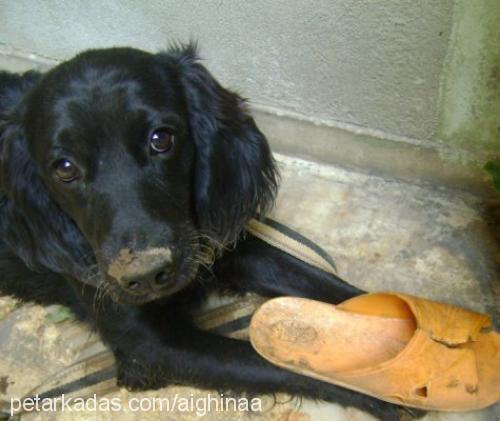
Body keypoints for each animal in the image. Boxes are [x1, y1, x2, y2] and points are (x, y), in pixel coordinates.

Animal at [0, 44, 410, 418]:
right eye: (65, 168)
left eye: (161, 139)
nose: (145, 275)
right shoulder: (150, 346)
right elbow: (274, 362)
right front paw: (384, 386)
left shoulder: (220, 244)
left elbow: (333, 289)